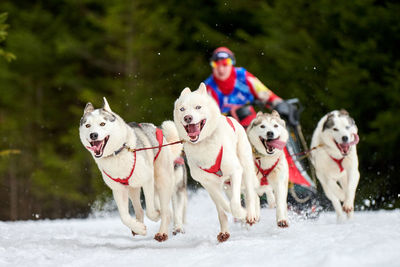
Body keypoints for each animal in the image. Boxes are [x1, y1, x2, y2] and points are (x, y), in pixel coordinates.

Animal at [79, 97, 184, 242]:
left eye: (102, 123)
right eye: (88, 125)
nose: (93, 135)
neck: (118, 153)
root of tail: (155, 128)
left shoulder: (147, 181)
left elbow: (151, 211)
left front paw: (156, 215)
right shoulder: (118, 189)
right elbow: (124, 217)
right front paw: (139, 228)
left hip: (163, 180)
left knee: (166, 211)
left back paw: (162, 232)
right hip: (133, 189)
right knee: (139, 210)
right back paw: (138, 226)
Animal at [173, 82, 260, 242]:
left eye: (198, 107)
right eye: (182, 109)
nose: (187, 117)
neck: (204, 145)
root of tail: (231, 118)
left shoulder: (235, 171)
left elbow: (234, 204)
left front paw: (242, 213)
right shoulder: (208, 183)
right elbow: (223, 206)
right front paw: (235, 216)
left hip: (245, 168)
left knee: (251, 193)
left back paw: (251, 214)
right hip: (227, 185)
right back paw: (226, 231)